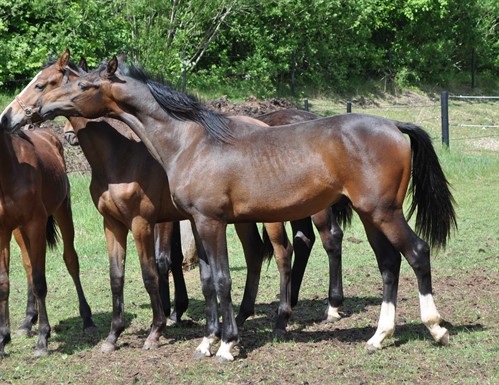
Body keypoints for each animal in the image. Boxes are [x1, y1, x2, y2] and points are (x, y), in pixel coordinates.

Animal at [0, 121, 95, 356]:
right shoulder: (2, 231)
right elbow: (4, 283)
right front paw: (3, 338)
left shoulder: (36, 225)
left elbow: (40, 281)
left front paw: (43, 338)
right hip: (19, 231)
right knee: (27, 265)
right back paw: (27, 321)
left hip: (63, 211)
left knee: (71, 260)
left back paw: (87, 319)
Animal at [35, 57, 458, 360]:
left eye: (83, 84)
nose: (39, 108)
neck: (191, 141)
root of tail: (394, 125)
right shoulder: (198, 221)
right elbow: (208, 280)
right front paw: (207, 341)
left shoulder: (208, 222)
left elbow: (221, 279)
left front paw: (226, 344)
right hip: (372, 215)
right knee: (388, 264)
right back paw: (378, 336)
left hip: (383, 213)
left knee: (416, 252)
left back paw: (435, 328)